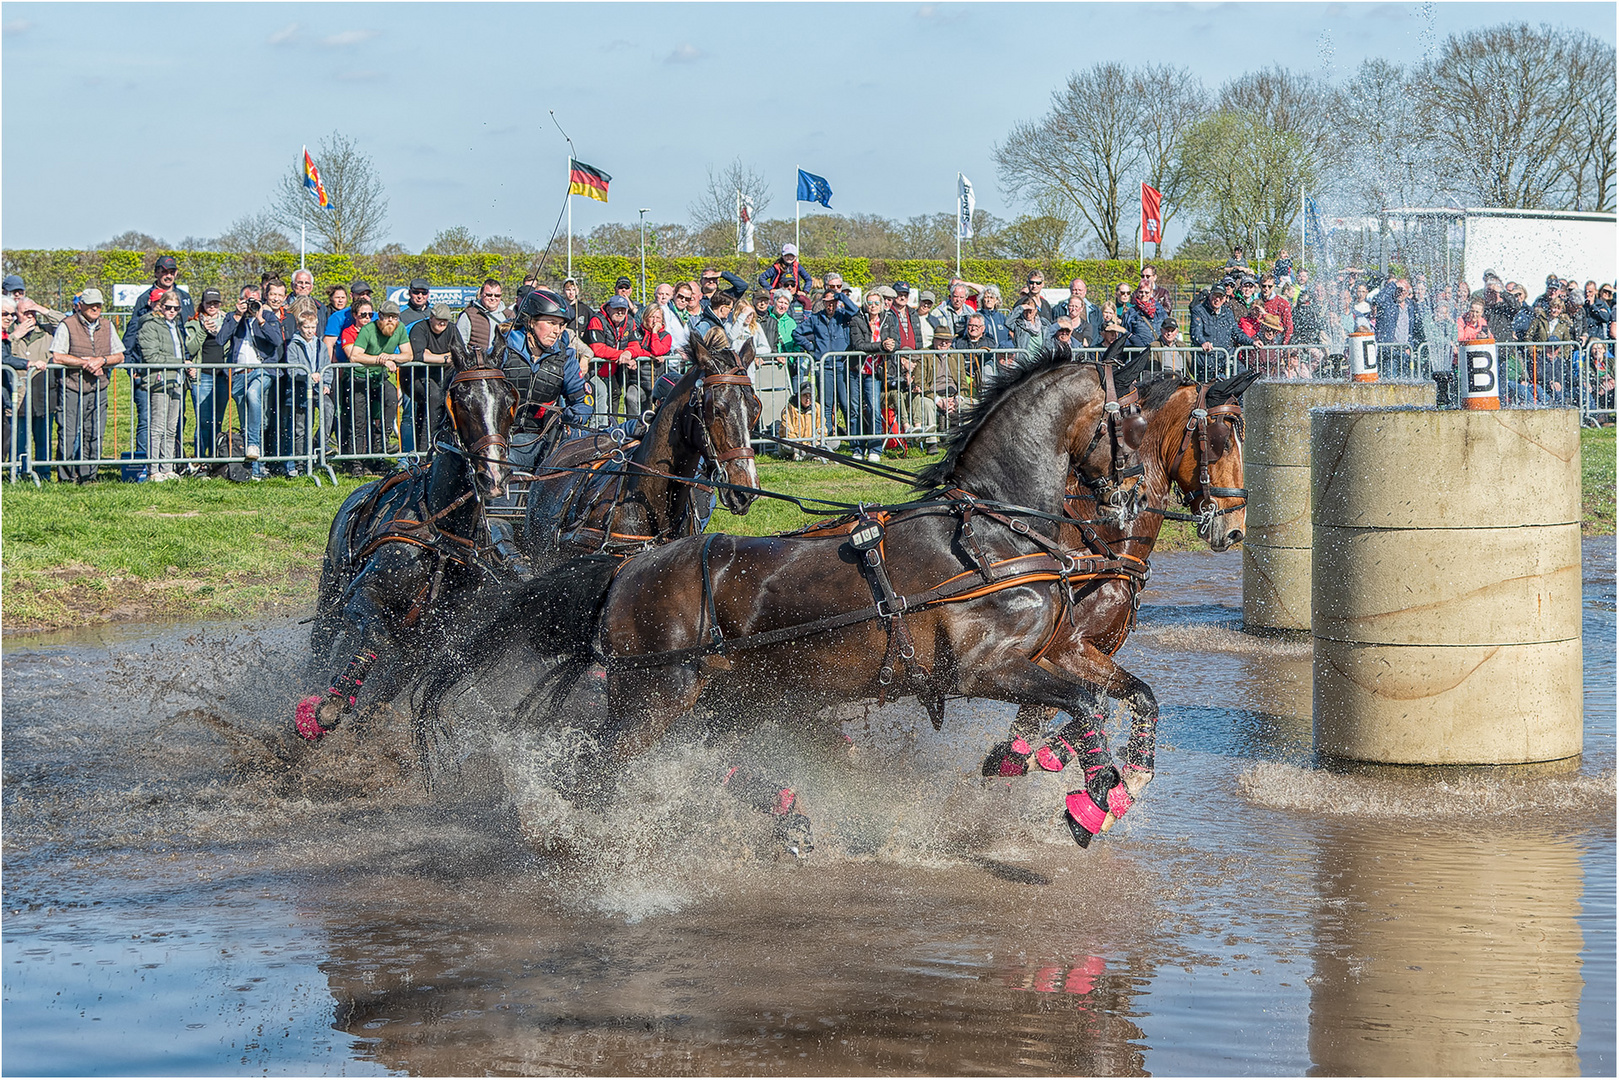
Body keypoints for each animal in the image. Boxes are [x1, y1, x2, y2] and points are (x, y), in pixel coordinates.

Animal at [296, 346, 511, 744]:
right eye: (462, 400)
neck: (441, 535)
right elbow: (377, 641)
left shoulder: (426, 645)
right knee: (321, 647)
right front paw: (331, 704)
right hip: (330, 594)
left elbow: (385, 692)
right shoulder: (363, 594)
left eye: (507, 400)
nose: (493, 474)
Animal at [977, 375, 1256, 841]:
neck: (1099, 540)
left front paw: (1031, 763)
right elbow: (1114, 701)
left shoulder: (1066, 656)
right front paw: (1087, 785)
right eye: (1220, 442)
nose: (1235, 529)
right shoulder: (1065, 650)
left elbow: (1049, 716)